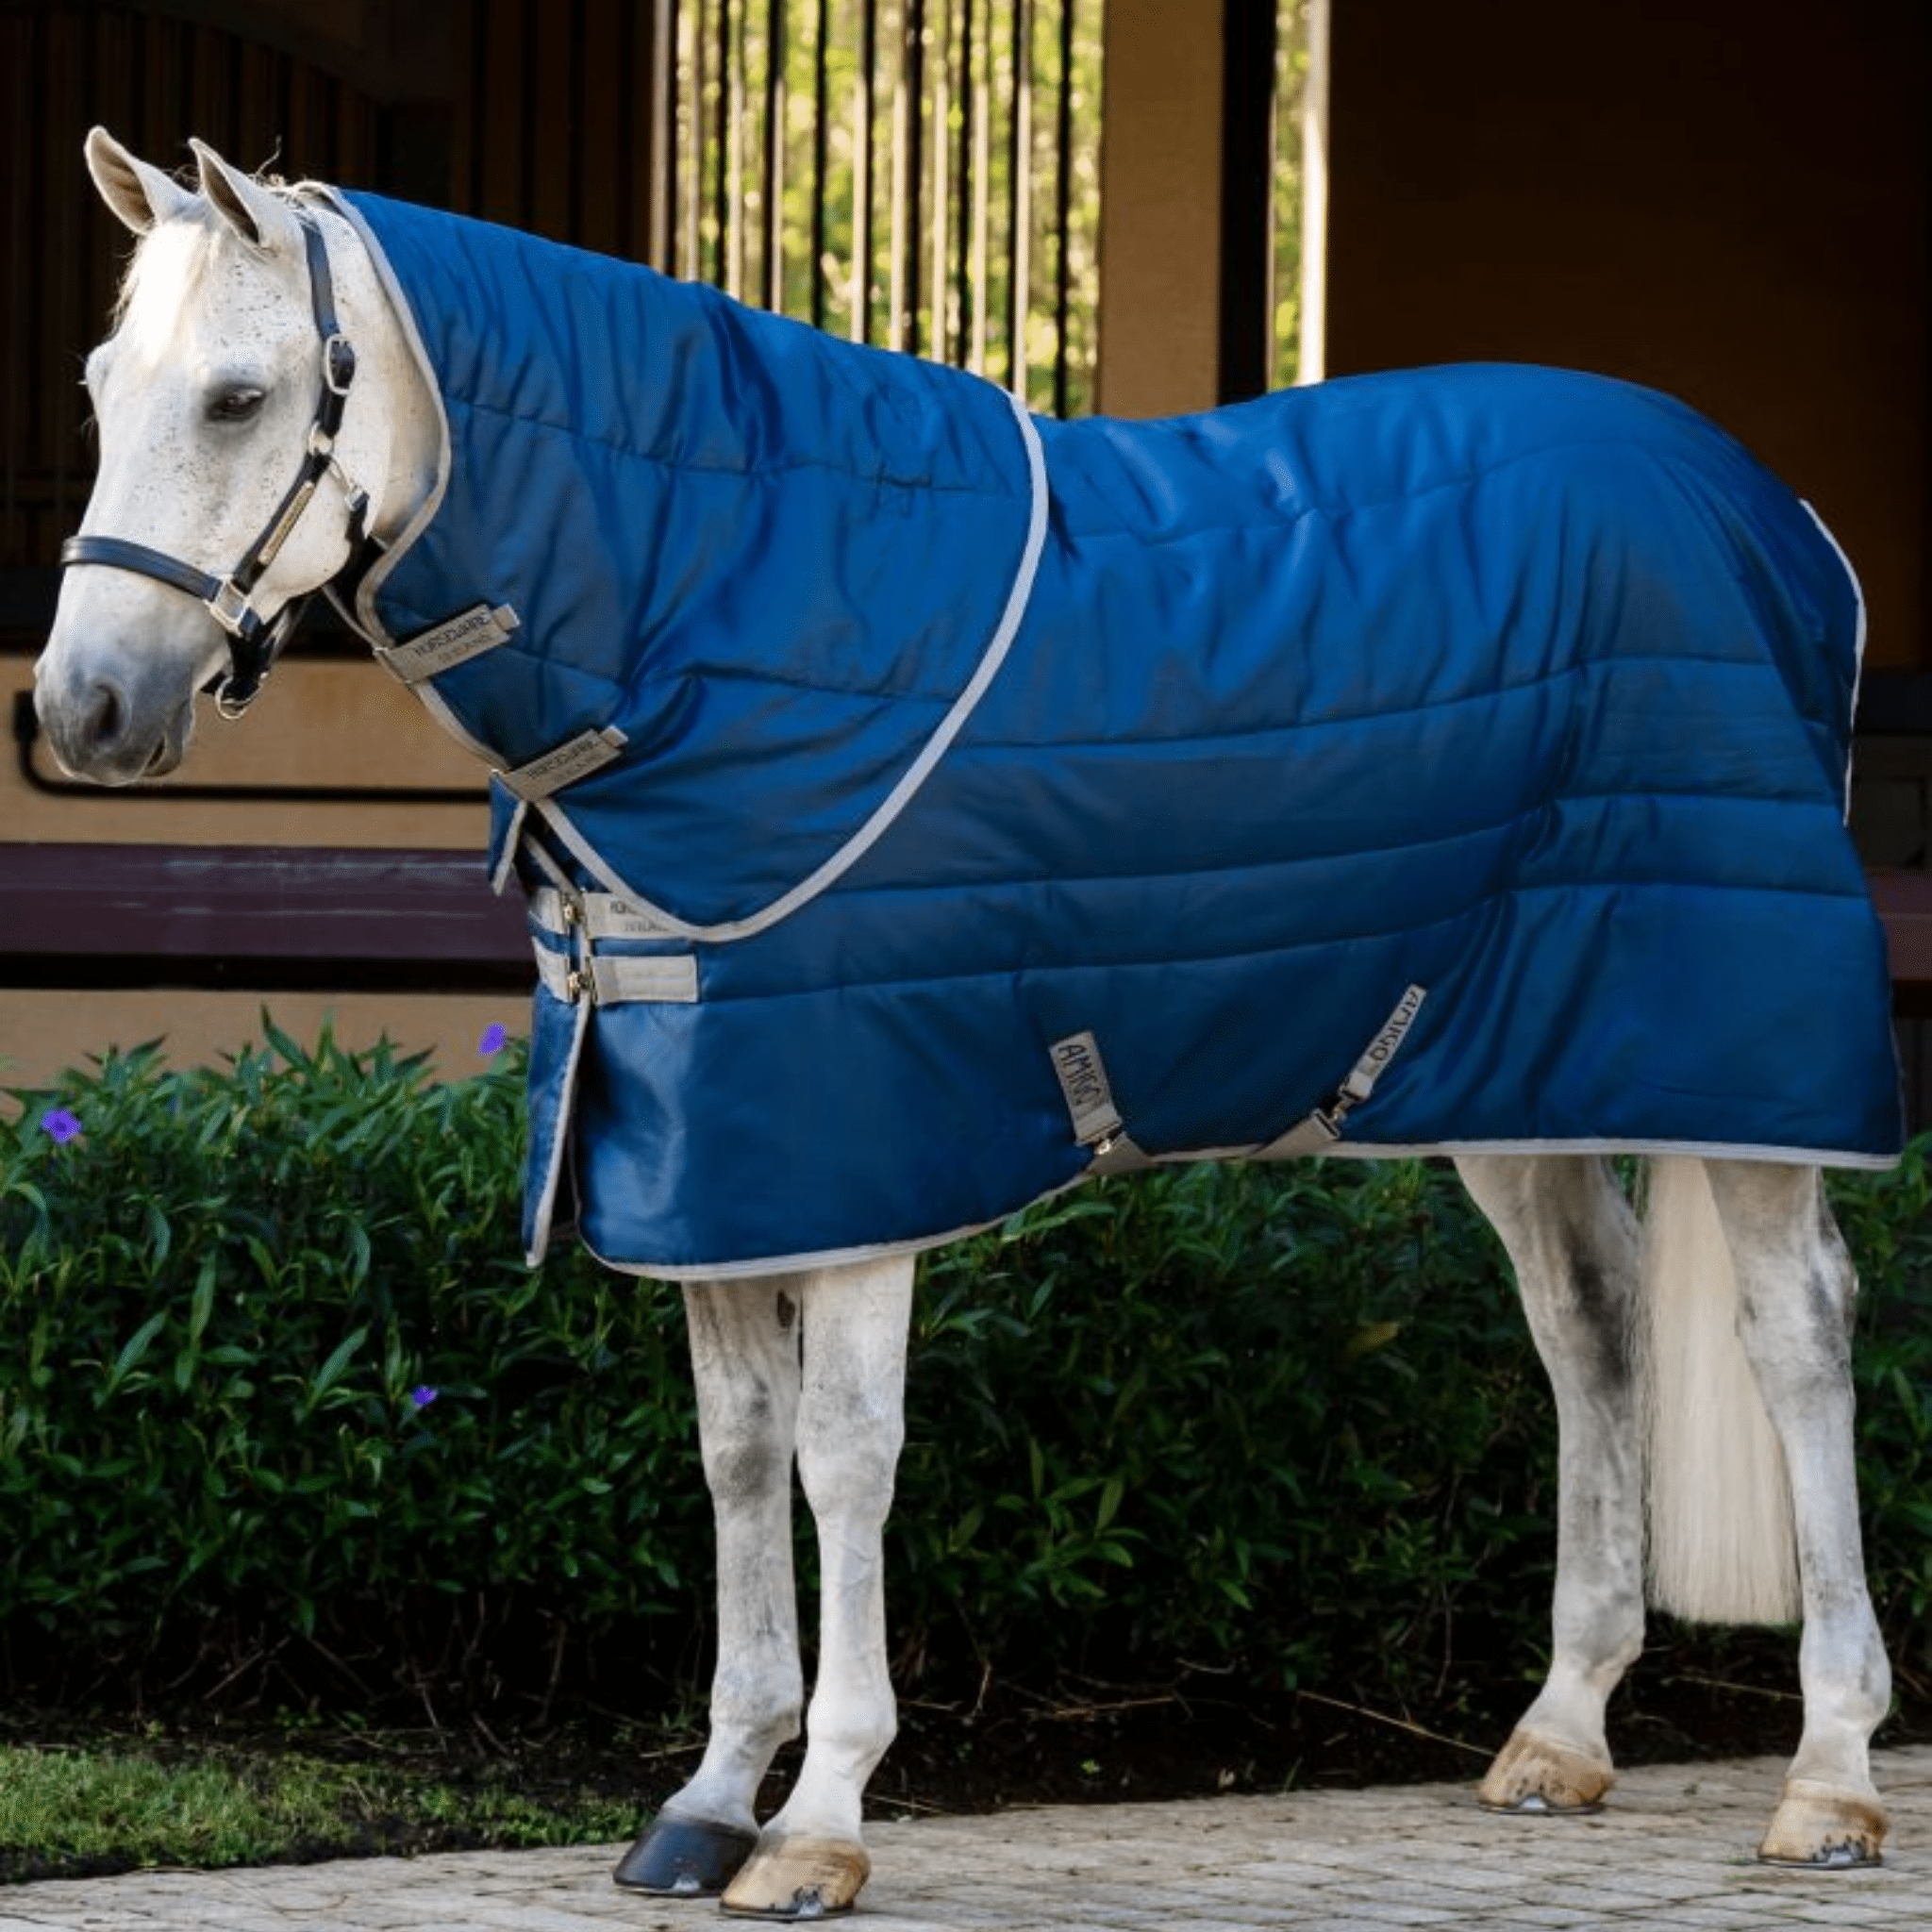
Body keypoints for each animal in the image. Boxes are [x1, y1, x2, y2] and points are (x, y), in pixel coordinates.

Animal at [35, 130, 1902, 1916]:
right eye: (103, 386)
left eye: (239, 396)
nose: (82, 708)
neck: (707, 599)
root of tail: (1783, 517)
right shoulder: (710, 1155)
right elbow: (736, 1455)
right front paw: (710, 1797)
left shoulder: (854, 1150)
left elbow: (843, 1459)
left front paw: (819, 1824)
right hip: (1507, 1059)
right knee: (1589, 1324)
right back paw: (1560, 1732)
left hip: (1733, 1049)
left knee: (1796, 1335)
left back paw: (1828, 1778)